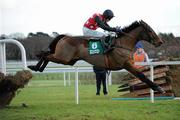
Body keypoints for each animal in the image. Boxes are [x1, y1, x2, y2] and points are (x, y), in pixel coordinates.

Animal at [28, 19, 165, 93]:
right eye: (150, 30)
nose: (160, 42)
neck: (123, 44)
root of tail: (65, 36)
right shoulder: (126, 64)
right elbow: (142, 75)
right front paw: (158, 88)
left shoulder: (130, 63)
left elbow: (143, 74)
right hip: (63, 58)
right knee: (45, 55)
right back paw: (35, 67)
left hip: (68, 60)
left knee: (47, 55)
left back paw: (37, 68)